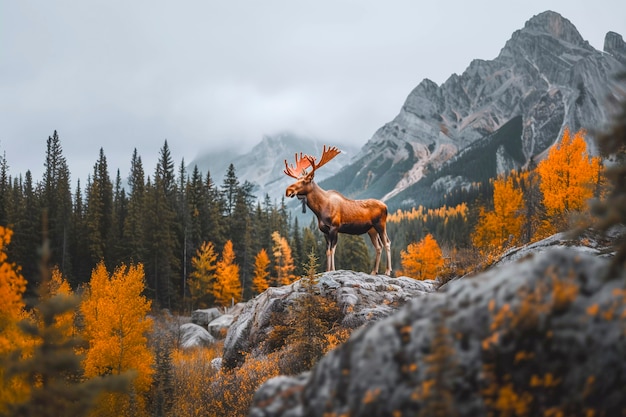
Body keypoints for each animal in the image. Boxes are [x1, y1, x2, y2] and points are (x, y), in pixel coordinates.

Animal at [284, 145, 390, 274]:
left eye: (305, 181)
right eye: (297, 179)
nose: (288, 190)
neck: (320, 210)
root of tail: (386, 207)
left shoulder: (334, 227)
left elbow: (332, 250)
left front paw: (332, 270)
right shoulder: (324, 230)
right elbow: (327, 251)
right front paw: (326, 270)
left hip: (380, 225)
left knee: (387, 243)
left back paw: (387, 271)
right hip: (371, 230)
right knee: (378, 246)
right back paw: (374, 272)